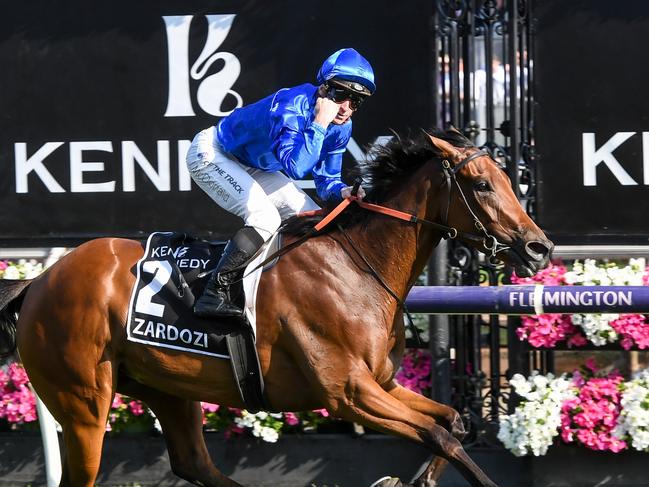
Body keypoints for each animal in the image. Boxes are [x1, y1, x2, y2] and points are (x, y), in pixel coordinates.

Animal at [0, 131, 552, 487]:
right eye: (482, 184)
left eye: (507, 178)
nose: (539, 247)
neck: (356, 266)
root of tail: (39, 281)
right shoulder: (349, 393)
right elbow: (443, 438)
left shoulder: (383, 383)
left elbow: (452, 422)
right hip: (82, 402)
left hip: (166, 387)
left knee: (194, 463)